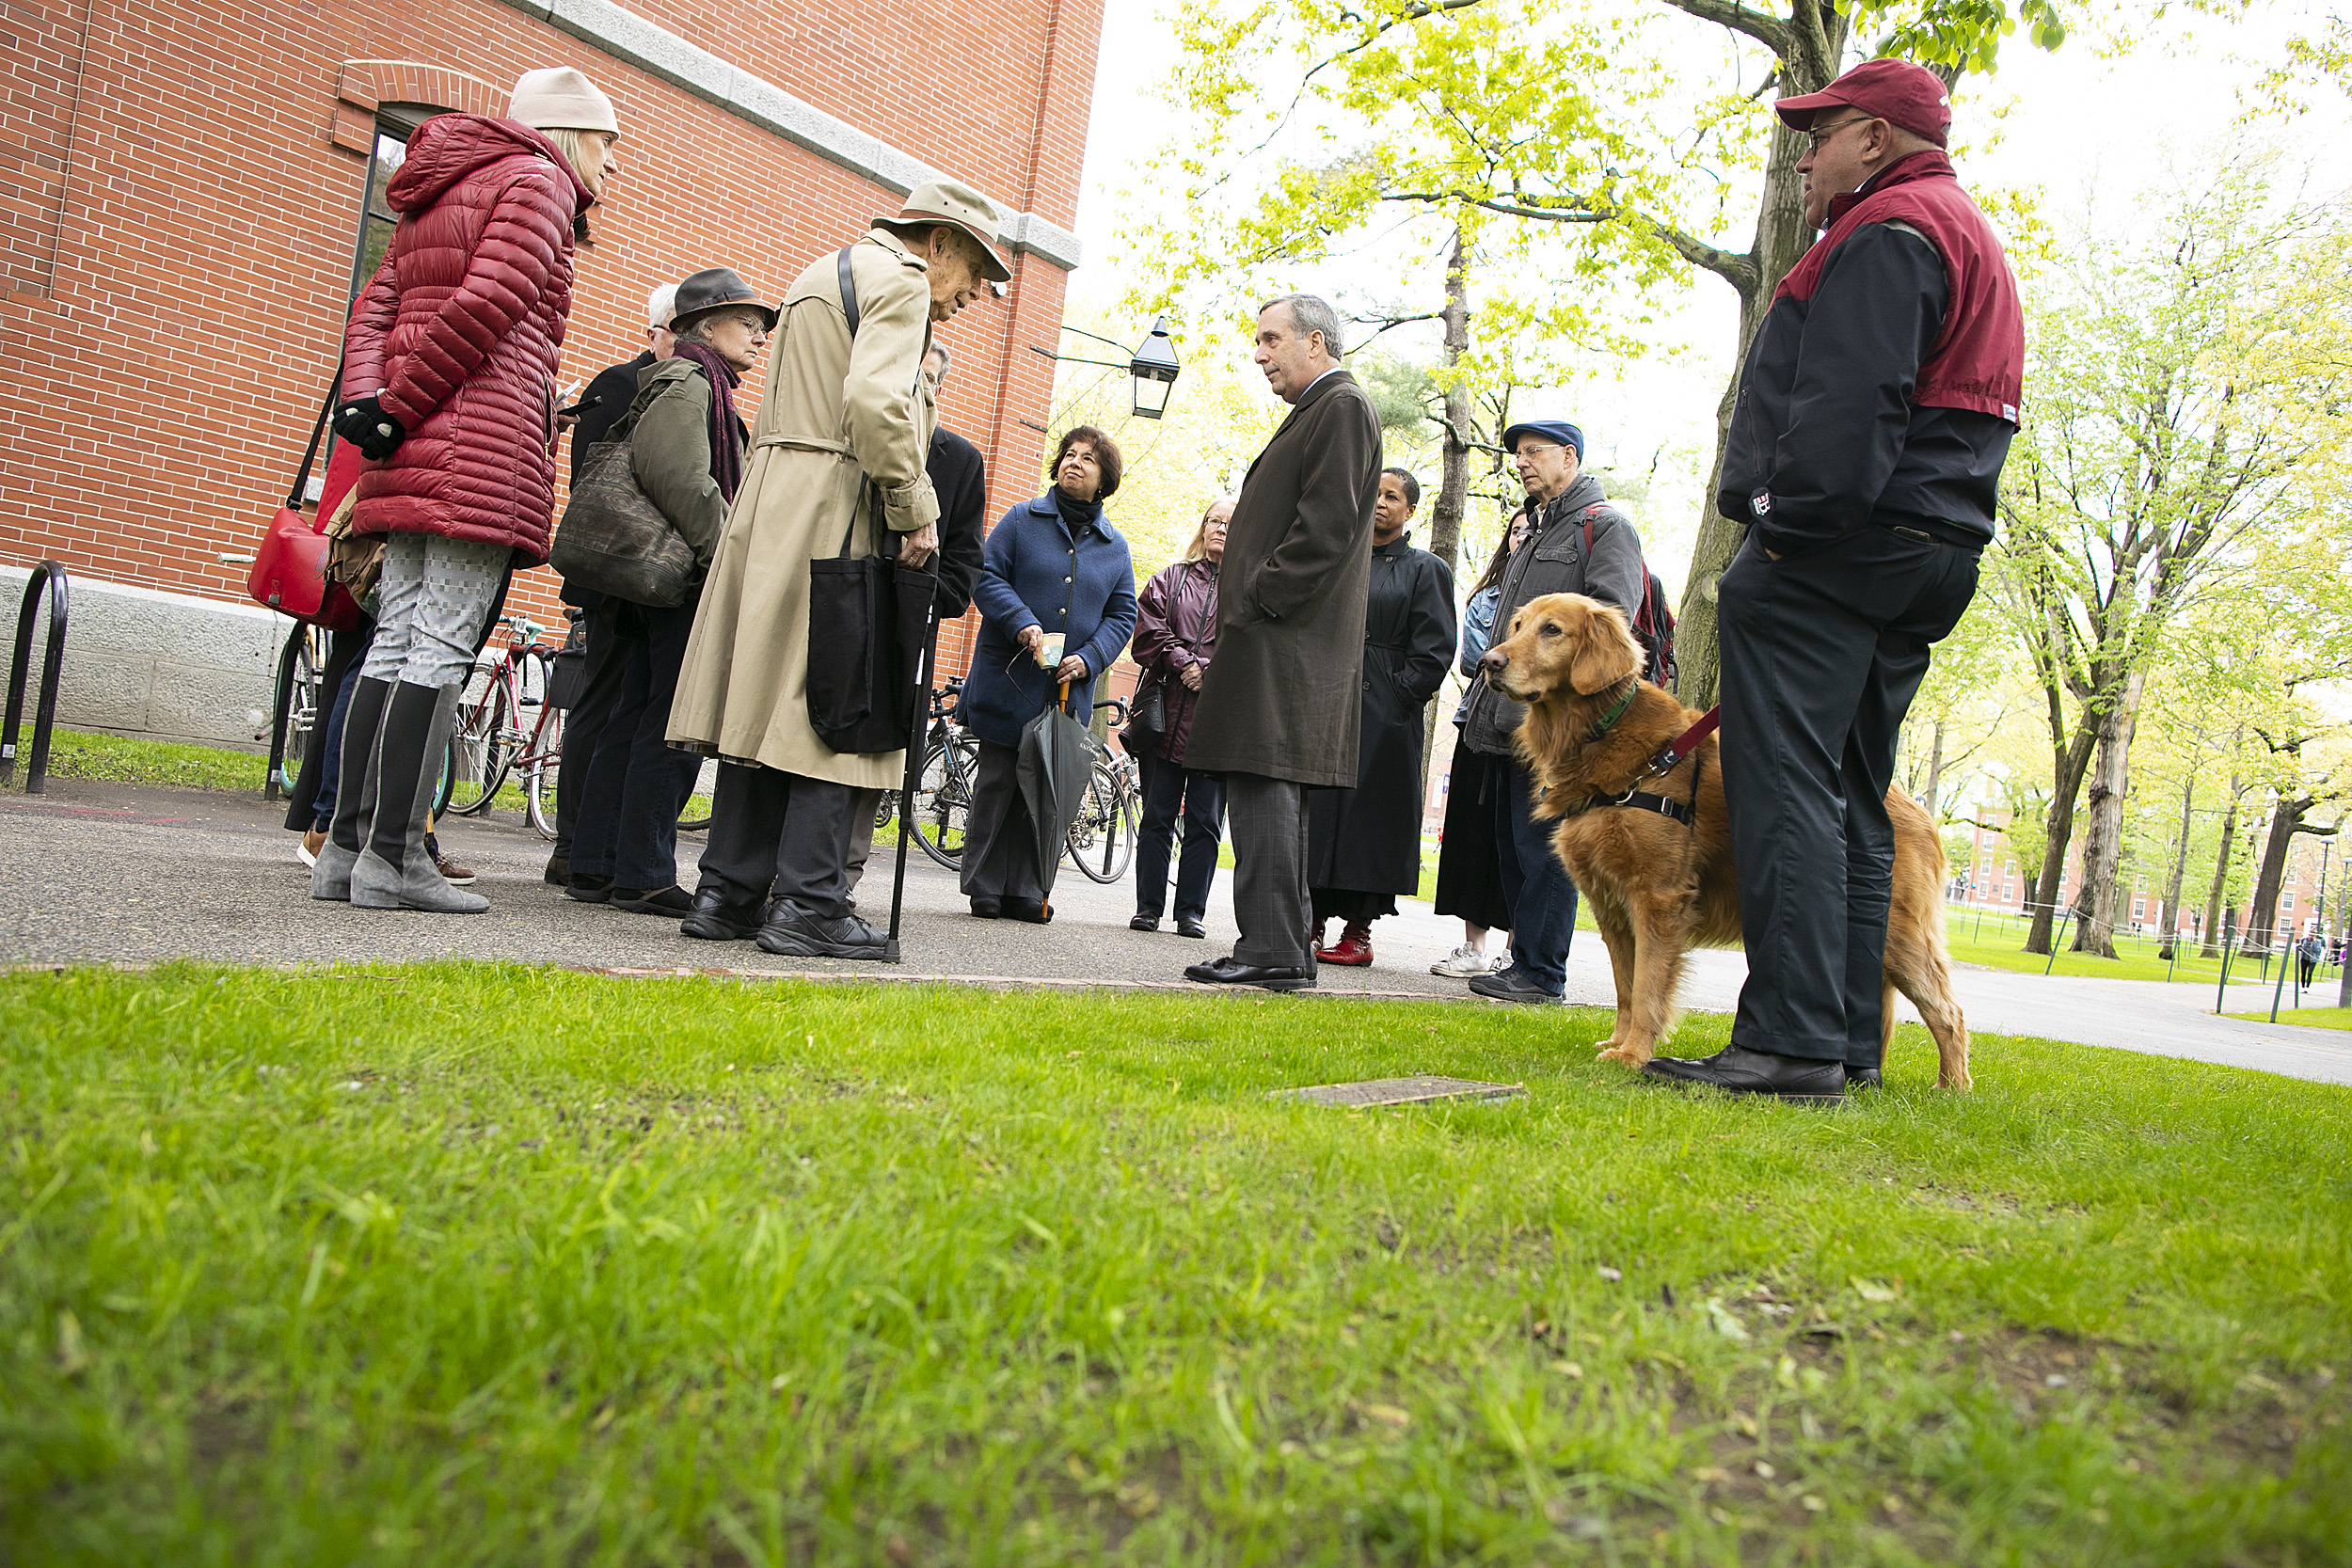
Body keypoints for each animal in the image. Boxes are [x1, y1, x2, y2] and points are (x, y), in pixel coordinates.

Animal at [1486, 587, 1966, 1090]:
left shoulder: (1658, 899)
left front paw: (1635, 1054)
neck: (1603, 734)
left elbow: (1648, 986)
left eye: (1552, 630)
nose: (1488, 662)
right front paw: (1618, 1043)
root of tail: (1920, 811)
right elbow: (1626, 986)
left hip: (1902, 934)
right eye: (1518, 625)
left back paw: (1950, 1089)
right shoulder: (1610, 904)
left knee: (1949, 1014)